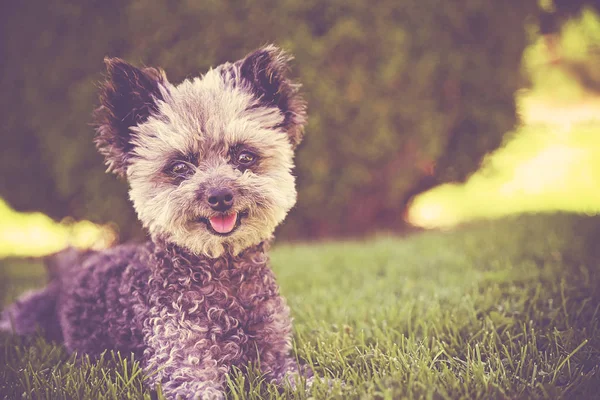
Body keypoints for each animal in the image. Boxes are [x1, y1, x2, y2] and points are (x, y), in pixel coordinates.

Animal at [1, 44, 310, 400]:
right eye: (179, 167)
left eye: (244, 156)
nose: (220, 195)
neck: (223, 275)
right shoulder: (181, 365)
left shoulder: (276, 359)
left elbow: (308, 381)